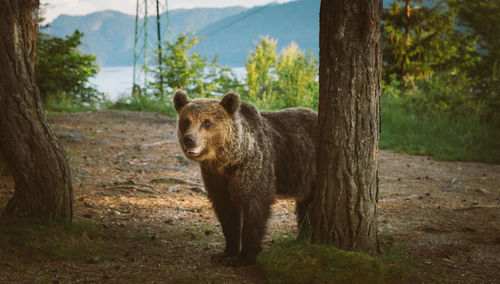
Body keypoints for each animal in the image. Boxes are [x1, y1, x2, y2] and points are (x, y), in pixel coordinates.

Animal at [174, 89, 316, 266]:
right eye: (186, 121)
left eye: (206, 122)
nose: (189, 139)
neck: (228, 160)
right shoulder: (215, 177)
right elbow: (226, 211)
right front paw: (225, 252)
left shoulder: (253, 168)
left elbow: (254, 207)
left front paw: (243, 257)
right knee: (305, 205)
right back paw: (302, 237)